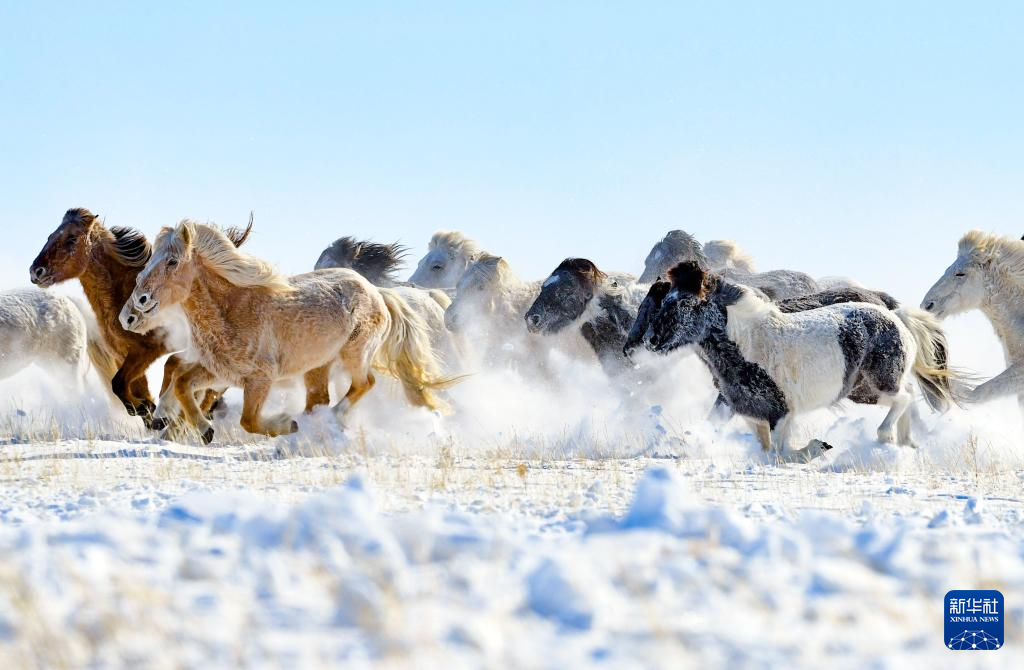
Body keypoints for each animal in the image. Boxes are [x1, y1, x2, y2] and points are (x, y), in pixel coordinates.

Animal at [30, 208, 251, 428]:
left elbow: (119, 384)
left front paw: (151, 412)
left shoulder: (145, 352)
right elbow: (129, 390)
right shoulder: (122, 356)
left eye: (71, 239)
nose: (35, 271)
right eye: (50, 236)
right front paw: (148, 411)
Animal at [119, 220, 452, 442]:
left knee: (364, 383)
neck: (233, 311)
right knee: (322, 398)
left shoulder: (259, 380)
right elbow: (182, 383)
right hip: (318, 368)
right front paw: (202, 429)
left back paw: (326, 420)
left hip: (355, 354)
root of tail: (377, 292)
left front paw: (284, 424)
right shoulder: (220, 372)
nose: (136, 306)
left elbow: (249, 421)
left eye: (172, 261)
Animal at [628, 261, 955, 454]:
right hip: (863, 391)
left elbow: (783, 453)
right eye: (664, 301)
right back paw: (906, 443)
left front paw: (818, 447)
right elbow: (765, 450)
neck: (749, 344)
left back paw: (887, 438)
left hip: (880, 381)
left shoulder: (782, 413)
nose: (651, 341)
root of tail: (895, 316)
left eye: (683, 303)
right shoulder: (747, 411)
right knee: (907, 397)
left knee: (904, 397)